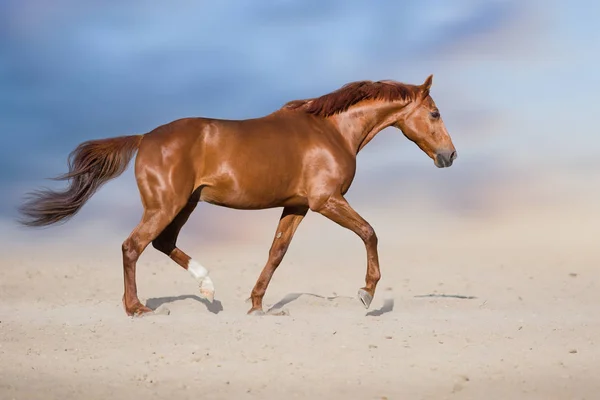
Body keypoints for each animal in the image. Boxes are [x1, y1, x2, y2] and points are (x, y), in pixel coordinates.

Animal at [19, 75, 460, 318]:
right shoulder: (325, 201)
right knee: (133, 246)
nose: (450, 156)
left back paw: (208, 289)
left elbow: (276, 252)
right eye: (435, 113)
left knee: (162, 243)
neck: (332, 131)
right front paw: (366, 293)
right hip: (166, 204)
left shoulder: (298, 205)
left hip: (185, 204)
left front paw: (256, 305)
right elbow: (369, 232)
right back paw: (138, 308)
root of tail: (145, 138)